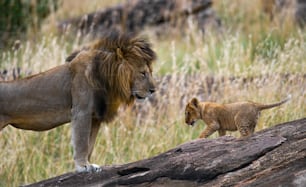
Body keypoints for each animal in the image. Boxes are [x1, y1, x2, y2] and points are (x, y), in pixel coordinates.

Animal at [0, 32, 157, 172]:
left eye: (150, 72)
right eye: (143, 73)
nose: (153, 90)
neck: (106, 80)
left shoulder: (95, 117)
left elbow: (90, 143)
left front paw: (89, 164)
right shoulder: (81, 111)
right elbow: (81, 141)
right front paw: (83, 166)